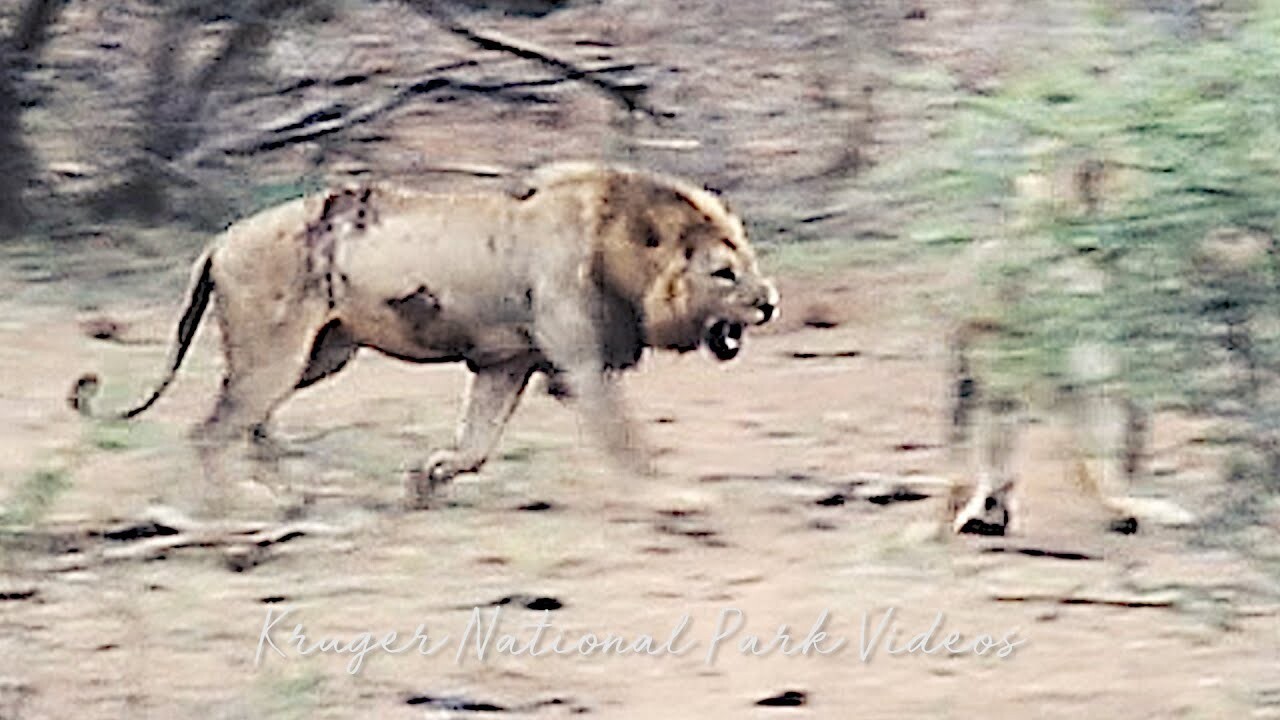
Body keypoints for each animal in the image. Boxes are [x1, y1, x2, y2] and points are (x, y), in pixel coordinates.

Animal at [80, 161, 783, 504]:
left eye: (749, 261)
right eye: (724, 273)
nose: (771, 303)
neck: (620, 248)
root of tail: (220, 238)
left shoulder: (506, 364)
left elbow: (476, 446)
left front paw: (425, 478)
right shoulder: (580, 364)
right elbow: (626, 438)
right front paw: (670, 496)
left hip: (318, 355)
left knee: (250, 426)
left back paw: (290, 496)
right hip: (274, 355)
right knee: (212, 431)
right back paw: (241, 509)